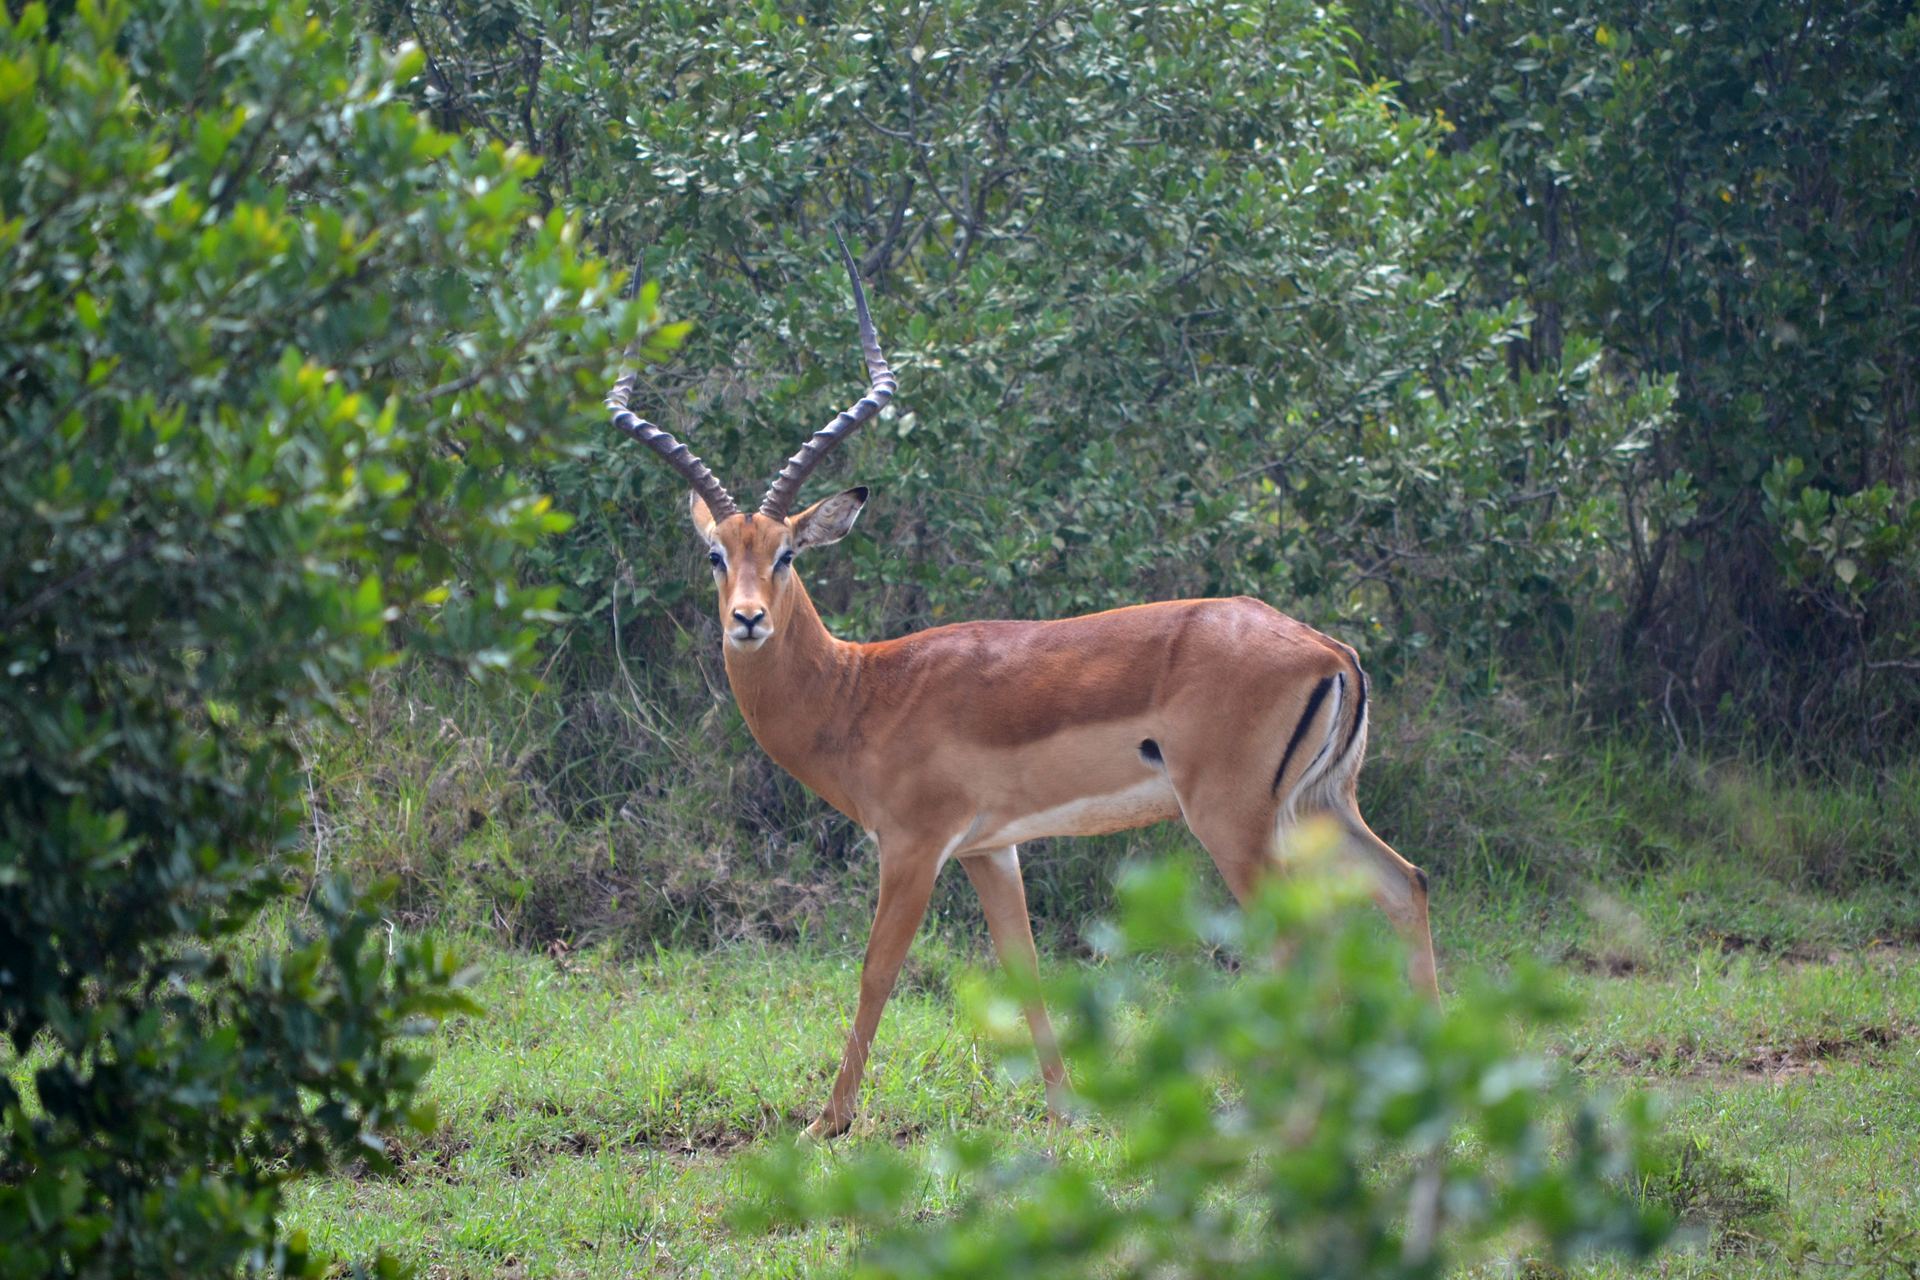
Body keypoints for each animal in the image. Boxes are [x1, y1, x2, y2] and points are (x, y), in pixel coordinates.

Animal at [608, 236, 1438, 1138]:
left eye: (787, 553)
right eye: (716, 555)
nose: (748, 620)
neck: (861, 692)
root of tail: (1329, 649)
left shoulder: (914, 847)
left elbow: (875, 973)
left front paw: (826, 1123)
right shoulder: (991, 850)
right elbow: (1026, 970)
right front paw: (1067, 1111)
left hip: (1235, 821)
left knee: (1297, 942)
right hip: (1321, 807)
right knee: (1406, 884)